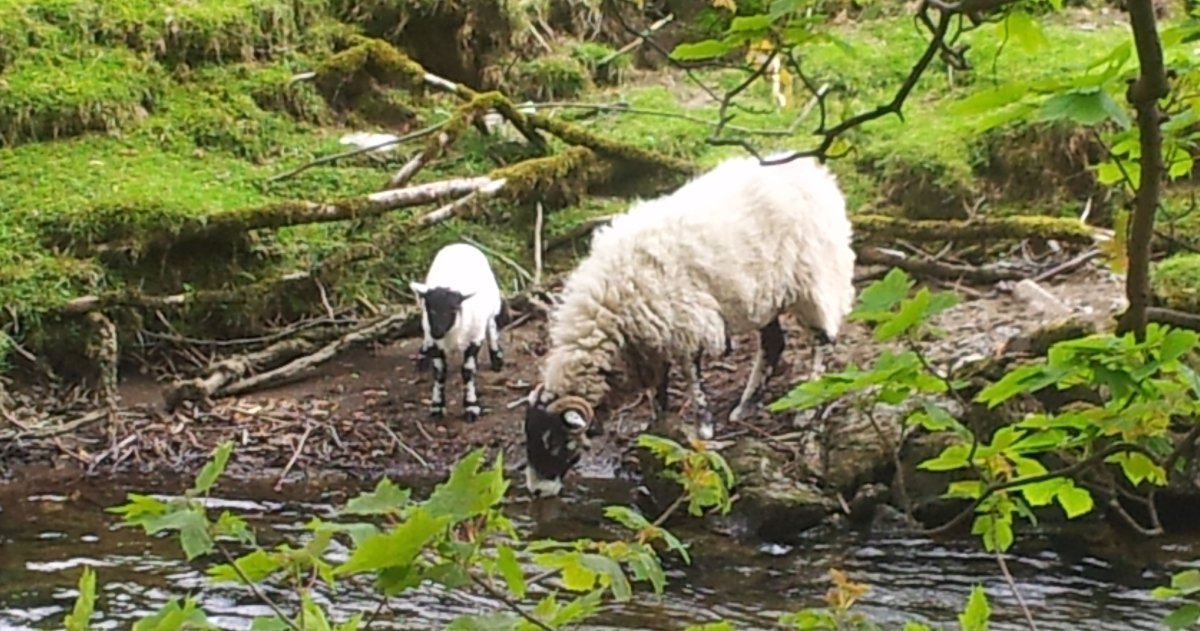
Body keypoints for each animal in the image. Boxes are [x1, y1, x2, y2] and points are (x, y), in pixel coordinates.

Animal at [410, 242, 506, 423]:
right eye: (429, 308)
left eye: (454, 308)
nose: (437, 332)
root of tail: (459, 244)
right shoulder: (434, 341)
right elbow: (439, 372)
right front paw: (437, 407)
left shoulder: (475, 338)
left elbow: (468, 371)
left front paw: (471, 407)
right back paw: (422, 356)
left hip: (492, 307)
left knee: (491, 327)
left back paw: (497, 357)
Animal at [522, 152, 857, 497]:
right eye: (529, 438)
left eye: (555, 442)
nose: (536, 491)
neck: (607, 304)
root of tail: (816, 174)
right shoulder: (649, 339)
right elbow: (657, 387)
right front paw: (657, 425)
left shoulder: (685, 323)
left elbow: (692, 376)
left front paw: (703, 428)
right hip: (767, 295)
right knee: (774, 344)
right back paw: (746, 406)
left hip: (815, 279)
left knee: (823, 339)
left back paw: (808, 407)